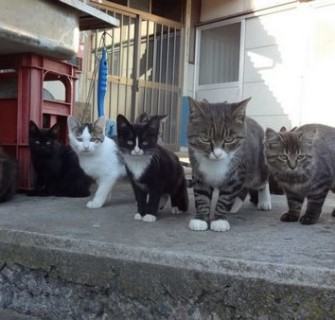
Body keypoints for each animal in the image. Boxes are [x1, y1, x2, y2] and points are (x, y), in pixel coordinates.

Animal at [188, 96, 272, 231]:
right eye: (205, 139)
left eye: (229, 139)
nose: (217, 154)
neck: (215, 163)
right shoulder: (198, 172)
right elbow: (201, 195)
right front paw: (200, 219)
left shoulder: (237, 172)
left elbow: (226, 196)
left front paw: (219, 220)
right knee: (244, 188)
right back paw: (235, 206)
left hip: (257, 166)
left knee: (262, 180)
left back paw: (265, 201)